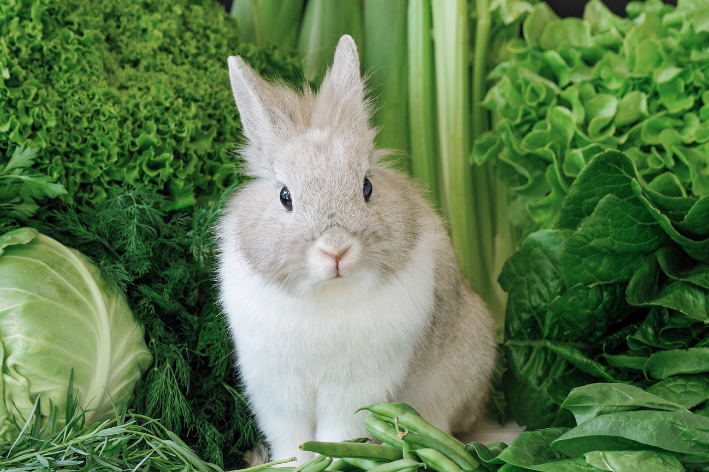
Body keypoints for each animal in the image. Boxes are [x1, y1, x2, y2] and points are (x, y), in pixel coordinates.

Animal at [217, 35, 498, 466]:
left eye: (367, 186)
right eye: (285, 196)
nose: (336, 251)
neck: (326, 296)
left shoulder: (357, 387)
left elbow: (336, 434)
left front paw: (329, 462)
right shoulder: (277, 390)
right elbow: (291, 440)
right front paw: (292, 465)